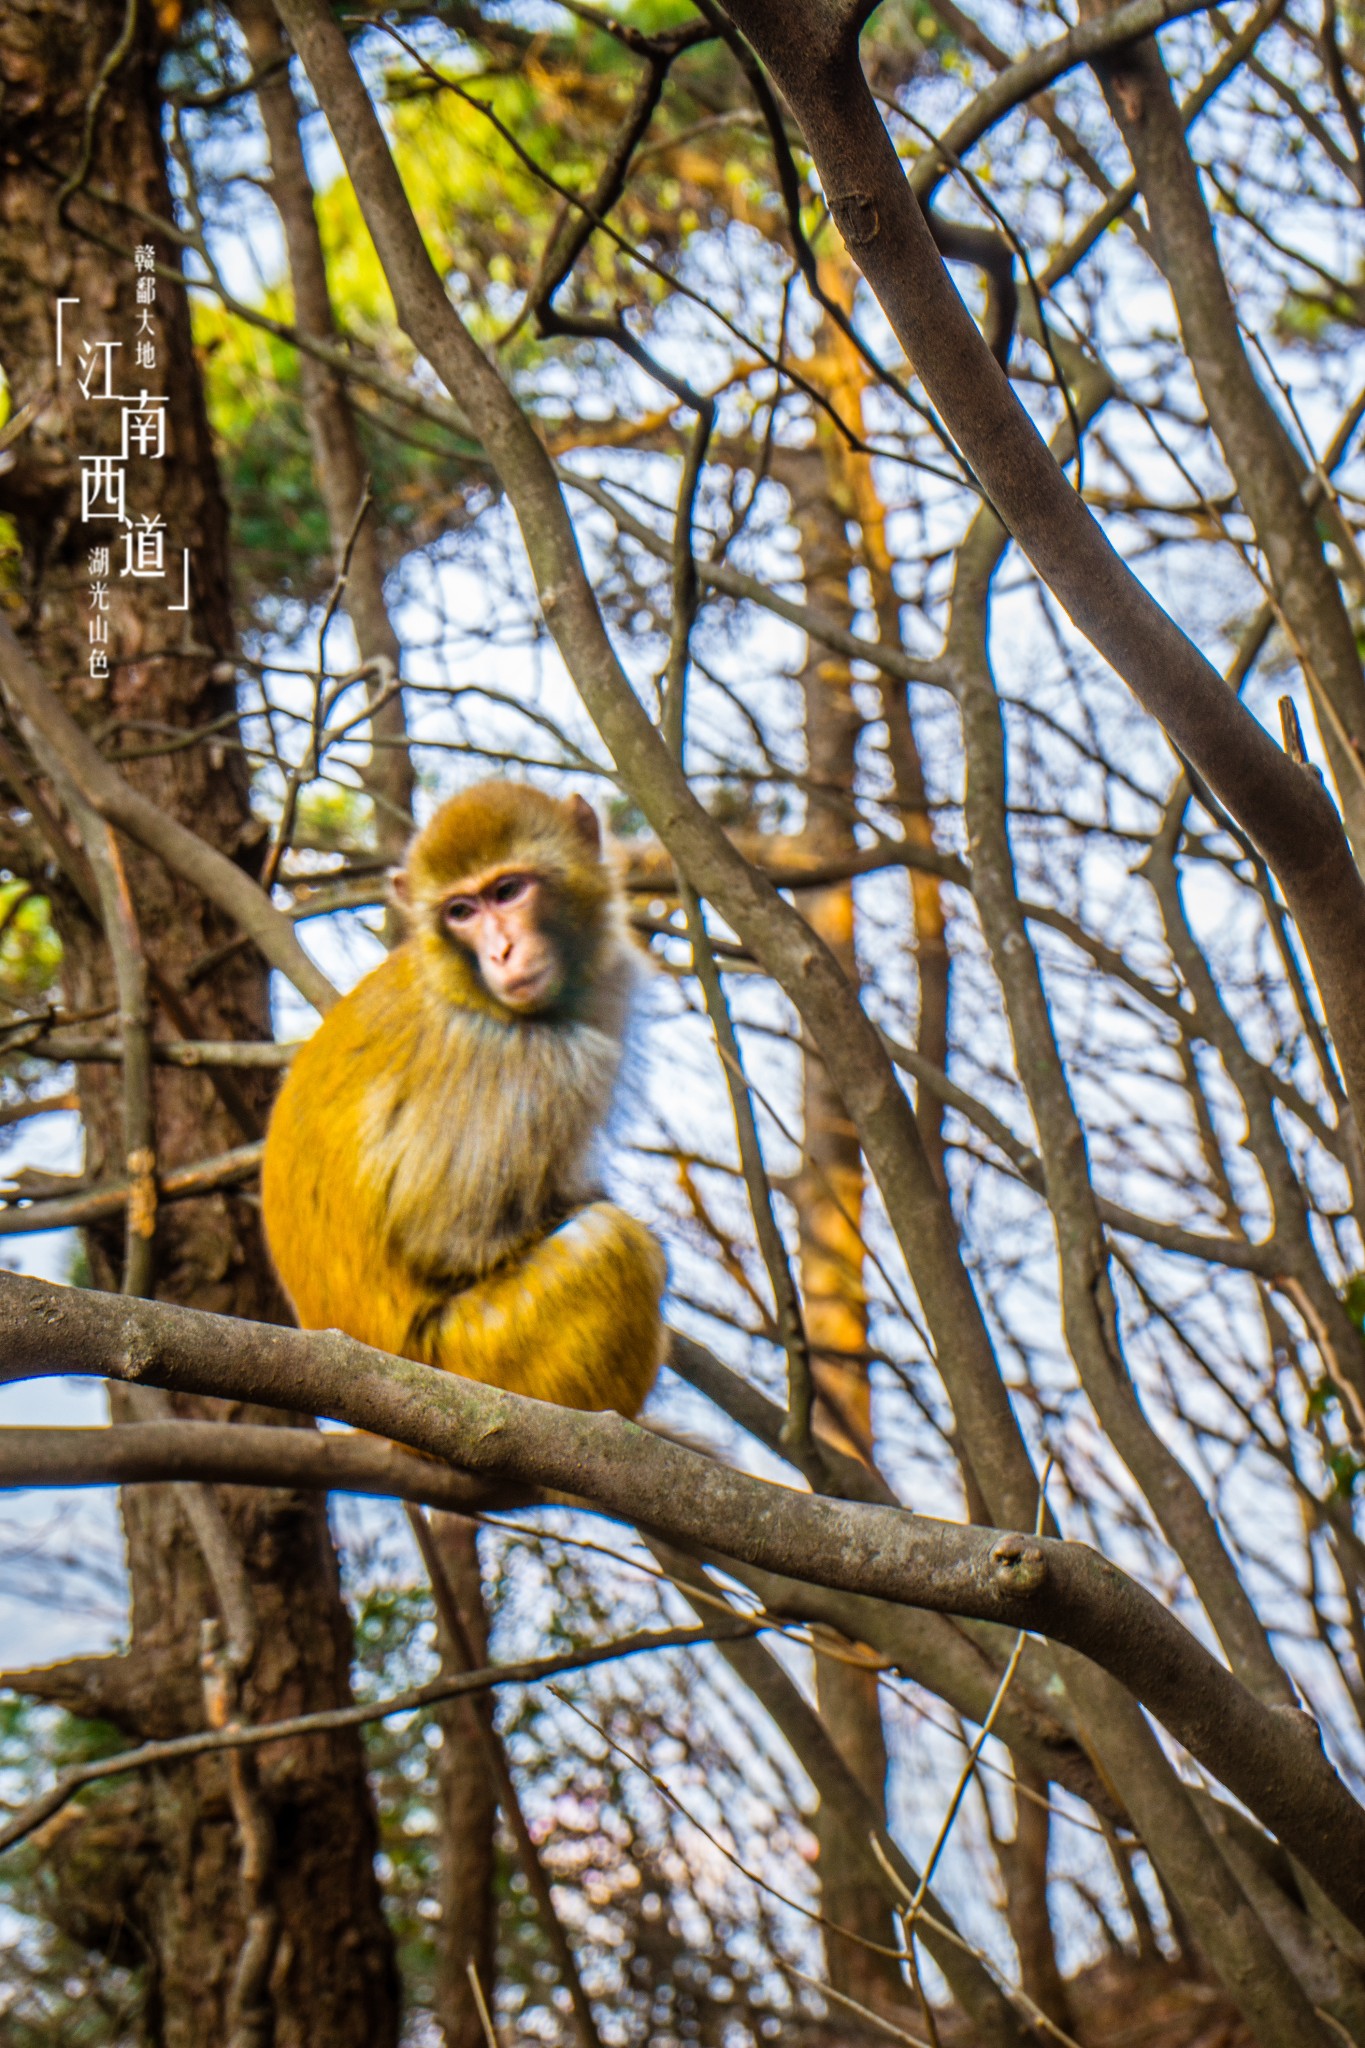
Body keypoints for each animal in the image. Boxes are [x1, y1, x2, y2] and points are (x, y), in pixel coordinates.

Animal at [259, 782, 667, 1425]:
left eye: (508, 891)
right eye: (461, 912)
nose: (502, 951)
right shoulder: (533, 1066)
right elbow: (443, 1237)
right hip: (473, 1365)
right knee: (609, 1243)